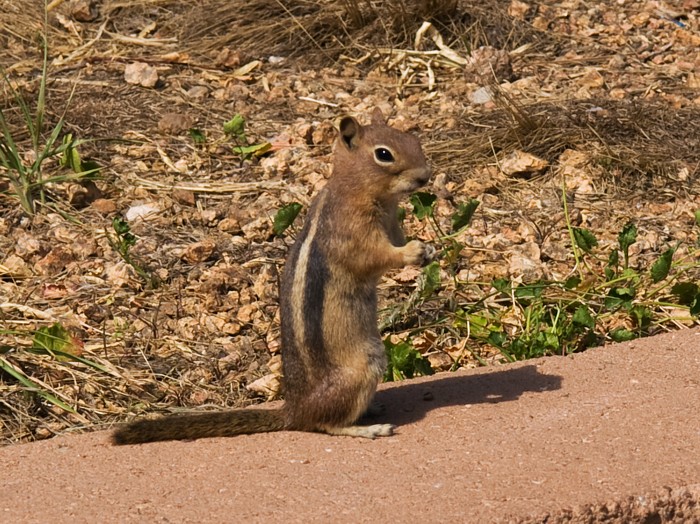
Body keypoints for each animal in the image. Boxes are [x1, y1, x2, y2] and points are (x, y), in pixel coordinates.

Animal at [112, 108, 432, 444]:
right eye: (383, 154)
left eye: (412, 139)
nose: (426, 176)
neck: (357, 189)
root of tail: (293, 411)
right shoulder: (352, 232)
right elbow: (375, 257)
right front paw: (412, 253)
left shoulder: (392, 225)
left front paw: (429, 250)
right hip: (364, 367)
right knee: (323, 424)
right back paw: (367, 428)